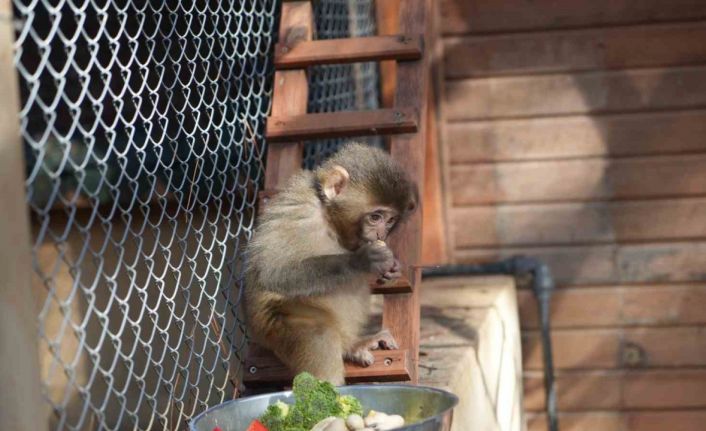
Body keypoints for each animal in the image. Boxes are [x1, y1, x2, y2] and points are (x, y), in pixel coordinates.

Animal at [243, 142, 416, 384]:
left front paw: (394, 268)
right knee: (318, 332)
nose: (381, 233)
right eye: (375, 217)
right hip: (273, 329)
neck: (328, 219)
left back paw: (352, 346)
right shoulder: (299, 210)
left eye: (390, 220)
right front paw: (362, 260)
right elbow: (272, 272)